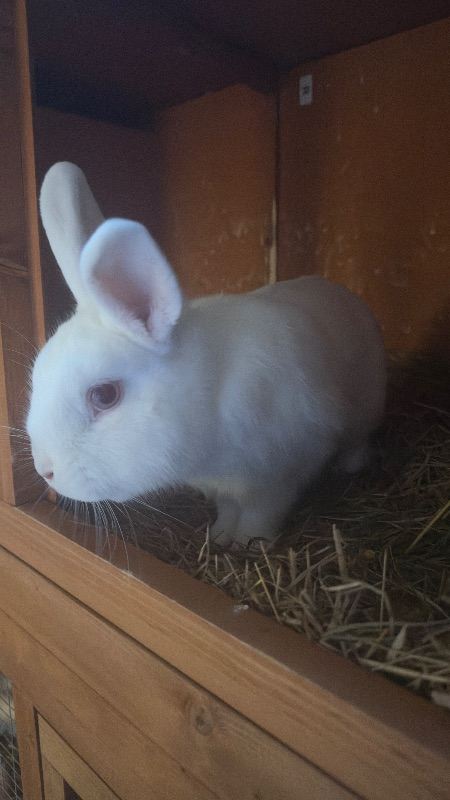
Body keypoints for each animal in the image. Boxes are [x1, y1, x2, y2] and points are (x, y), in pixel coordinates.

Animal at [27, 162, 386, 546]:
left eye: (105, 395)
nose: (44, 470)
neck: (211, 399)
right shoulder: (222, 487)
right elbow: (228, 509)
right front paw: (221, 536)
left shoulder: (281, 474)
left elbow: (261, 513)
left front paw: (248, 542)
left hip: (367, 402)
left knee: (358, 438)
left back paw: (350, 465)